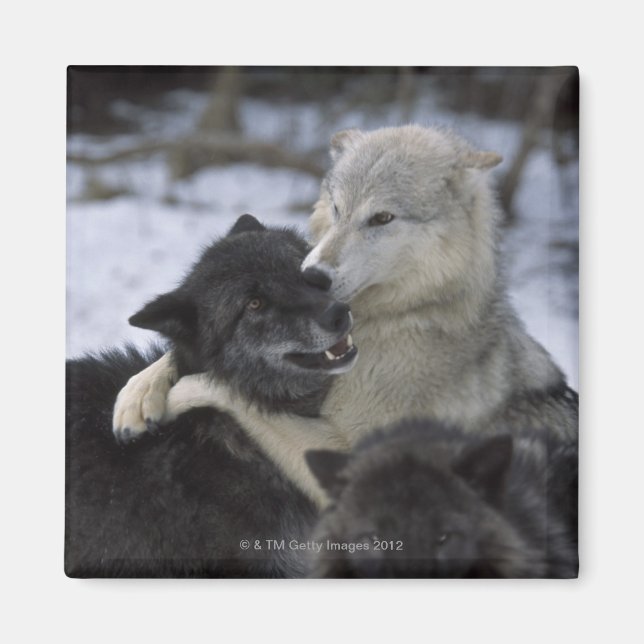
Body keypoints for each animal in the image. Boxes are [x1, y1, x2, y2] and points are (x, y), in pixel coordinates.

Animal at [112, 125, 577, 502]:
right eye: (337, 209)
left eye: (382, 218)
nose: (314, 276)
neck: (400, 317)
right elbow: (173, 358)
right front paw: (136, 397)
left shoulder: (349, 458)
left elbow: (226, 389)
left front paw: (177, 394)